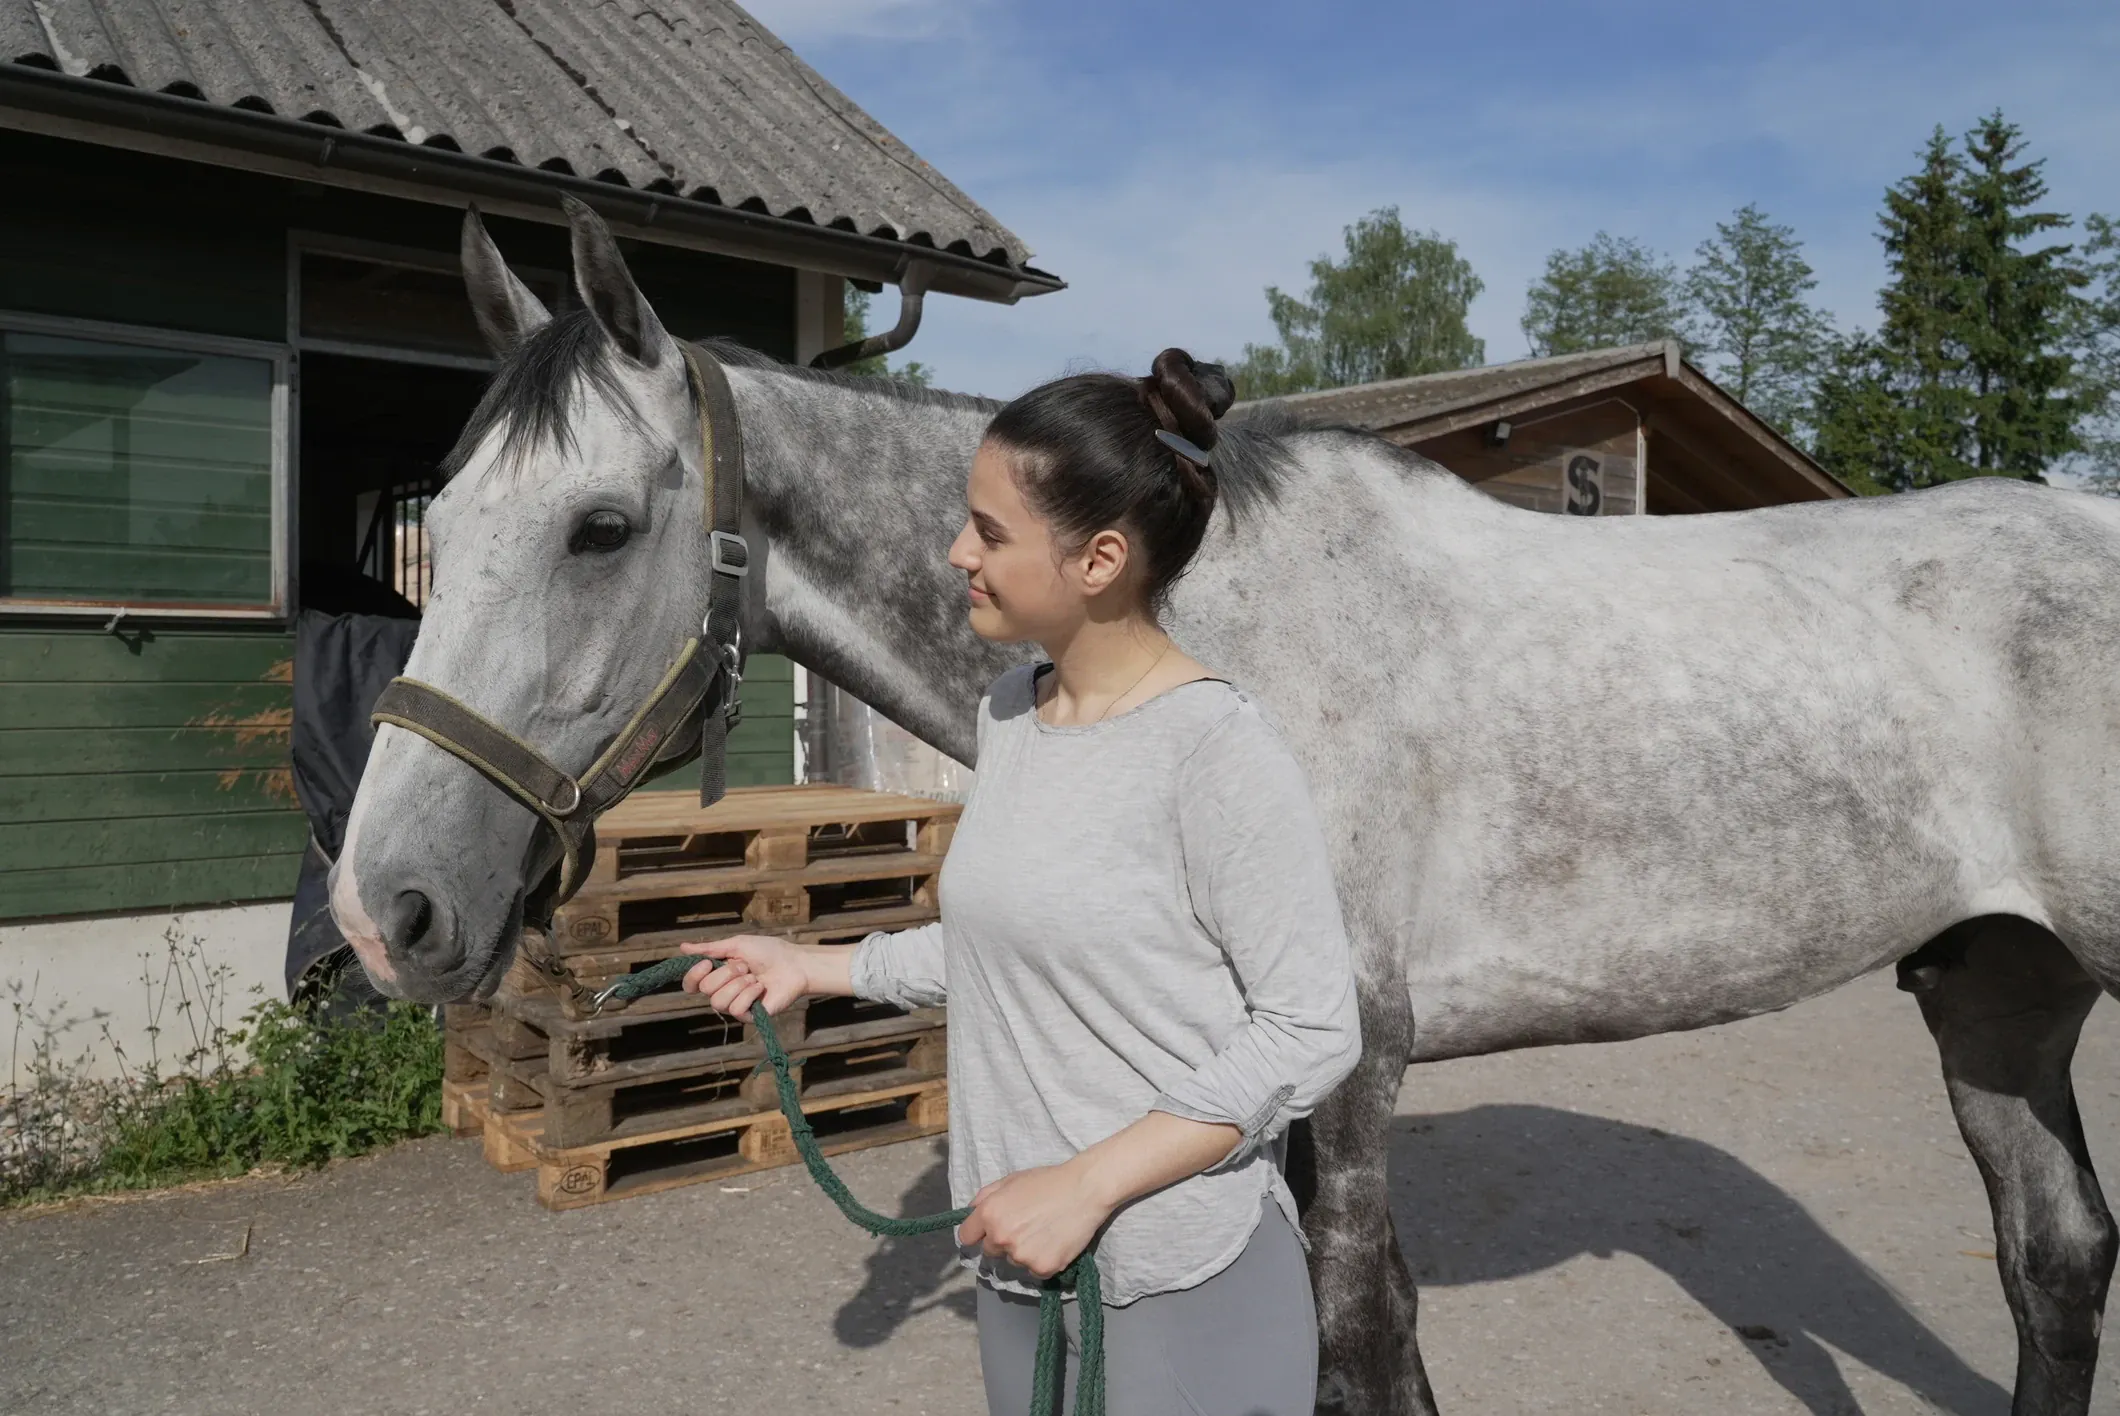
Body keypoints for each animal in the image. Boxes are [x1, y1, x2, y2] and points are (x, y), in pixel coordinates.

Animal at [331, 196, 2120, 1416]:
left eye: (600, 527)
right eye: (444, 516)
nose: (386, 907)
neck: (1215, 635)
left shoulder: (1346, 1064)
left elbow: (1361, 1344)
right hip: (1997, 993)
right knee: (2056, 1265)